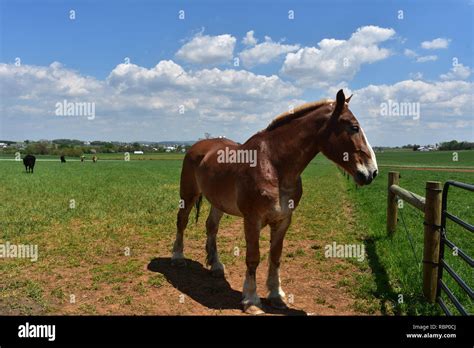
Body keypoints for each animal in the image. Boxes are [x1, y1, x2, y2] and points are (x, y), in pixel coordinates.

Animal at [170, 89, 378, 312]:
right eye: (354, 127)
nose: (372, 172)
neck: (273, 165)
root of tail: (198, 146)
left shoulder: (283, 220)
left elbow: (275, 256)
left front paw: (276, 295)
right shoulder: (252, 220)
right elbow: (253, 258)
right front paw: (252, 300)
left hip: (218, 202)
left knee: (211, 227)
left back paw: (216, 265)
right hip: (188, 195)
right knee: (182, 221)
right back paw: (178, 258)